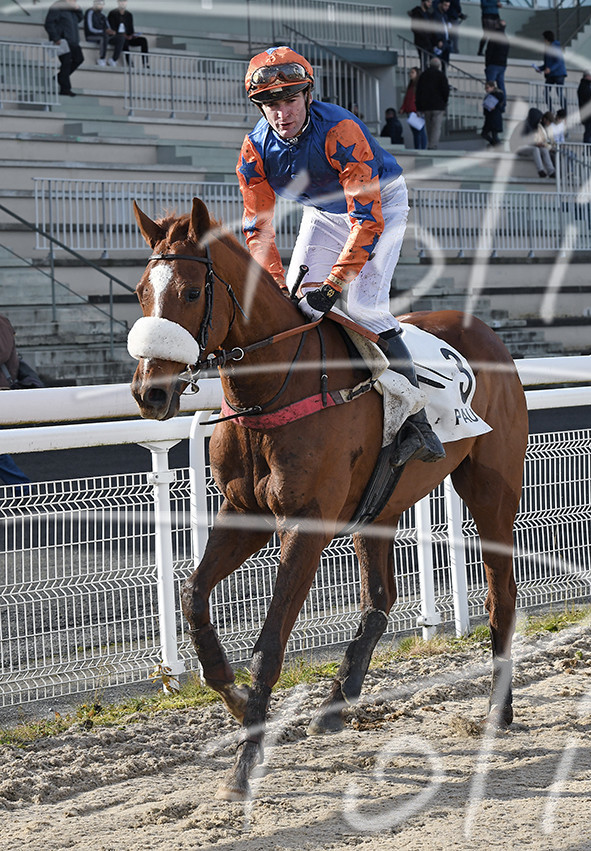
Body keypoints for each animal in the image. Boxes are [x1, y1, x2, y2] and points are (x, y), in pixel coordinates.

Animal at [129, 197, 528, 801]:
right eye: (139, 292)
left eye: (192, 292)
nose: (150, 392)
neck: (273, 388)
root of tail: (485, 330)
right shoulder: (243, 513)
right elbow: (194, 596)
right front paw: (236, 700)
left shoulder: (307, 525)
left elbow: (270, 642)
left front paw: (244, 764)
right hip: (380, 507)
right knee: (379, 599)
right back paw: (337, 705)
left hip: (491, 490)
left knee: (501, 597)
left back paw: (496, 712)